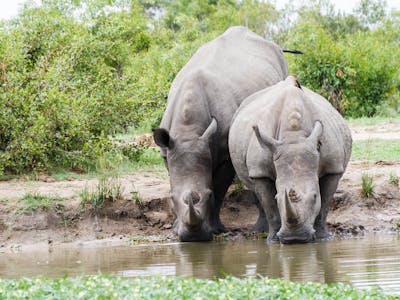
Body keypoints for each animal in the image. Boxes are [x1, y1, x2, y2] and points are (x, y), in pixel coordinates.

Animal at [152, 26, 290, 241]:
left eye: (207, 195)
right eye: (171, 199)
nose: (193, 238)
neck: (188, 131)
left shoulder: (225, 154)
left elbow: (219, 188)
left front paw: (215, 229)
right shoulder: (168, 150)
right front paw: (176, 228)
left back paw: (258, 230)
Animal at [230, 75, 352, 244]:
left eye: (315, 197)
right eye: (277, 197)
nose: (295, 238)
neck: (294, 137)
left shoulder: (333, 168)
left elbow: (325, 205)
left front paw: (323, 238)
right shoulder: (260, 170)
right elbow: (270, 207)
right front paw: (273, 241)